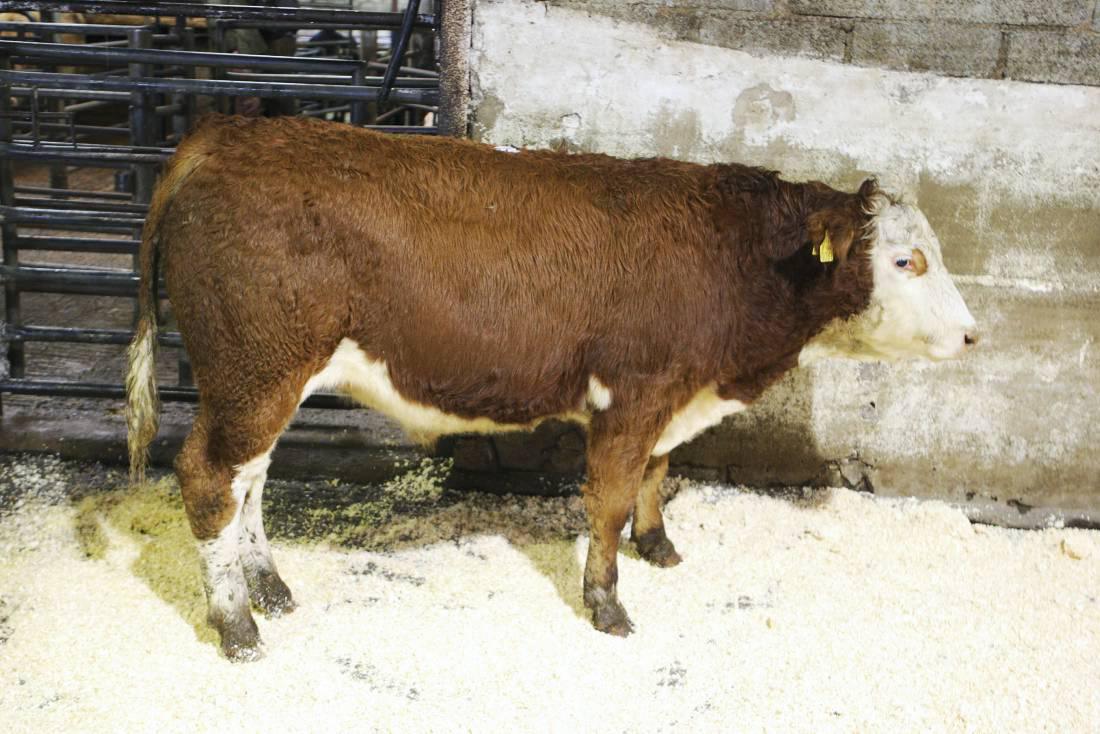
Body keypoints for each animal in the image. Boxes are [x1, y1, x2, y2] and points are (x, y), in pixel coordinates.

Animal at [125, 114, 978, 661]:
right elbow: (609, 498)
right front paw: (606, 602)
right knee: (209, 478)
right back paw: (237, 625)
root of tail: (225, 135)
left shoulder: (669, 400)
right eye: (905, 260)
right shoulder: (633, 395)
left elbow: (657, 474)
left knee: (251, 479)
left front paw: (658, 546)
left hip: (263, 378)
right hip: (255, 370)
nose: (974, 335)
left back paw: (268, 586)